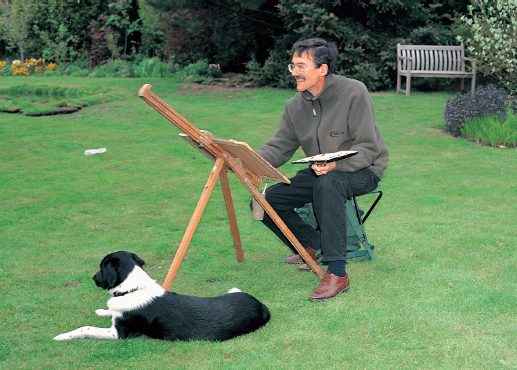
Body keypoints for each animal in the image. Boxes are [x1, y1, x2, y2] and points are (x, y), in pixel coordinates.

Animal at [53, 250, 270, 342]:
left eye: (101, 268)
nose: (92, 277)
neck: (134, 288)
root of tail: (261, 307)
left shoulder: (119, 334)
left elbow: (86, 328)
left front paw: (62, 336)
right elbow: (109, 310)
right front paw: (101, 310)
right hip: (233, 290)